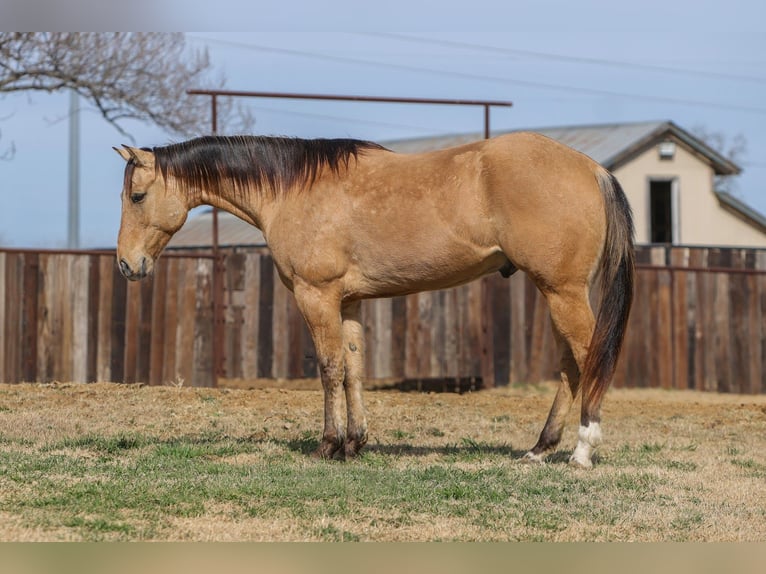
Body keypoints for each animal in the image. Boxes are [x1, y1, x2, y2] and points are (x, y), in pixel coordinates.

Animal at [114, 132, 634, 468]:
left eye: (137, 196)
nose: (126, 264)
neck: (292, 190)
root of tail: (592, 168)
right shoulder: (349, 302)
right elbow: (354, 370)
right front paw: (355, 444)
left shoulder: (316, 296)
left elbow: (329, 370)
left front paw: (328, 446)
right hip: (556, 293)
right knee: (570, 365)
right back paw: (540, 448)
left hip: (562, 292)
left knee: (589, 357)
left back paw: (582, 451)